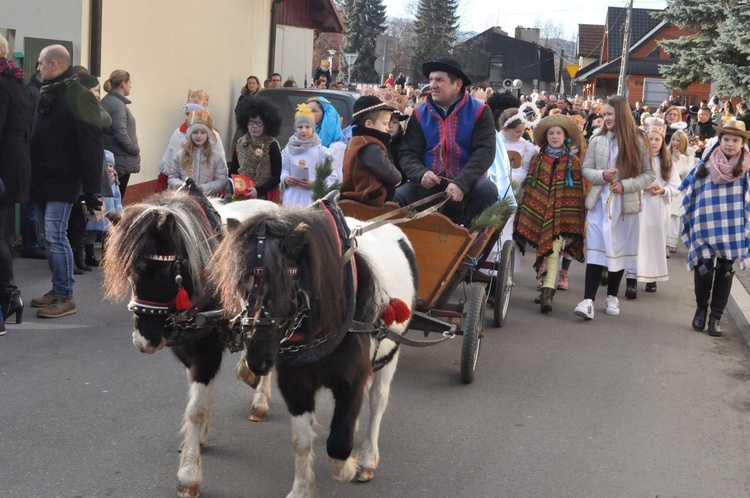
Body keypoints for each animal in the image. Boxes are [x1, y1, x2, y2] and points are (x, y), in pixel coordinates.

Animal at [103, 188, 280, 498]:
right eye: (129, 273)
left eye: (162, 271)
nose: (144, 340)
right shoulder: (189, 351)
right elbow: (200, 396)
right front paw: (200, 437)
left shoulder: (207, 352)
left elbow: (194, 409)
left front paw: (188, 474)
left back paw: (259, 399)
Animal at [212, 199, 420, 498]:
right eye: (241, 286)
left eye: (283, 289)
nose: (257, 361)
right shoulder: (295, 385)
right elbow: (301, 440)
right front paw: (301, 488)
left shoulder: (352, 381)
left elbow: (339, 442)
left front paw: (349, 467)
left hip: (390, 356)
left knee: (377, 400)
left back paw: (368, 459)